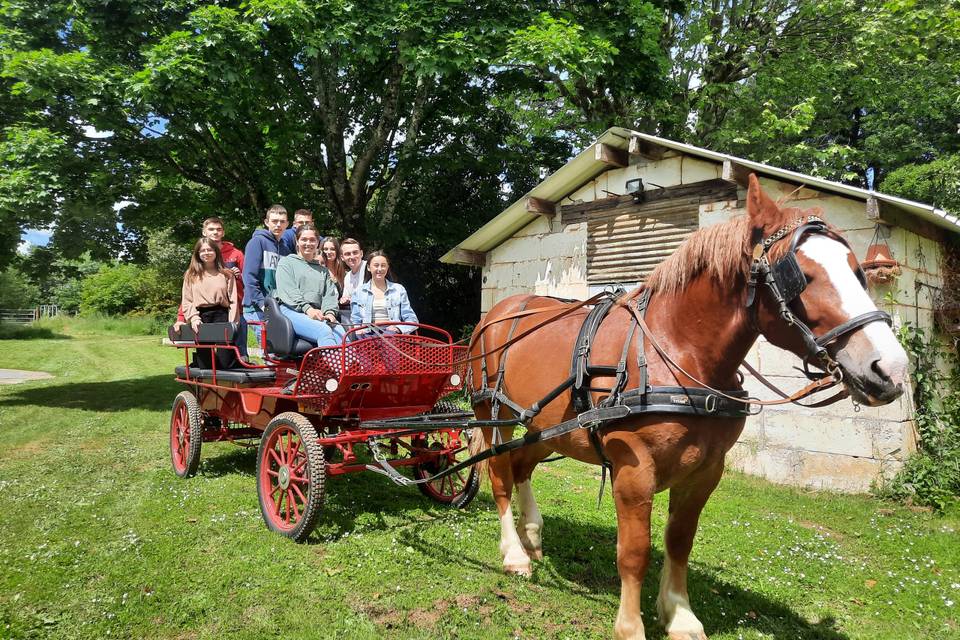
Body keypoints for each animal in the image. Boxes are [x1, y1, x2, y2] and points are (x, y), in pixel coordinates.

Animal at [468, 175, 904, 640]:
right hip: (492, 413)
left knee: (522, 466)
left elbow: (679, 541)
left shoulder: (706, 470)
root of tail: (496, 311)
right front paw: (630, 625)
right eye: (800, 276)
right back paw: (514, 553)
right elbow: (635, 551)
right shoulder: (634, 470)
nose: (891, 368)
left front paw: (678, 614)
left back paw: (532, 535)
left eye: (858, 271)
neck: (678, 350)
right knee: (499, 473)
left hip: (546, 426)